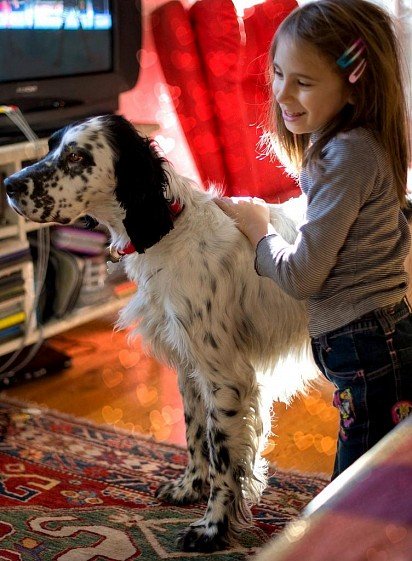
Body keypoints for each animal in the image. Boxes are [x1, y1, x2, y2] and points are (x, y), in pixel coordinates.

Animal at [4, 114, 316, 552]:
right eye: (49, 147)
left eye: (77, 157)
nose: (9, 184)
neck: (168, 230)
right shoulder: (188, 366)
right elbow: (195, 436)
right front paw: (189, 488)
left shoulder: (225, 376)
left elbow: (223, 457)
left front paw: (212, 529)